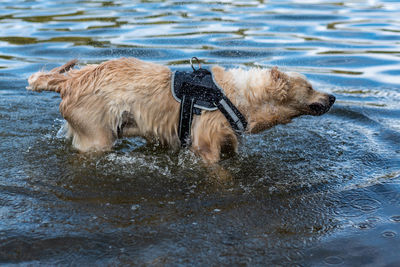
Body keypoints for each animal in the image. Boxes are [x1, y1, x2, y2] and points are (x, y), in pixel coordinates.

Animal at [26, 57, 336, 164]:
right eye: (310, 86)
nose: (333, 97)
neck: (235, 96)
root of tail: (70, 80)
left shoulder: (229, 140)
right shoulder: (205, 144)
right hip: (96, 137)